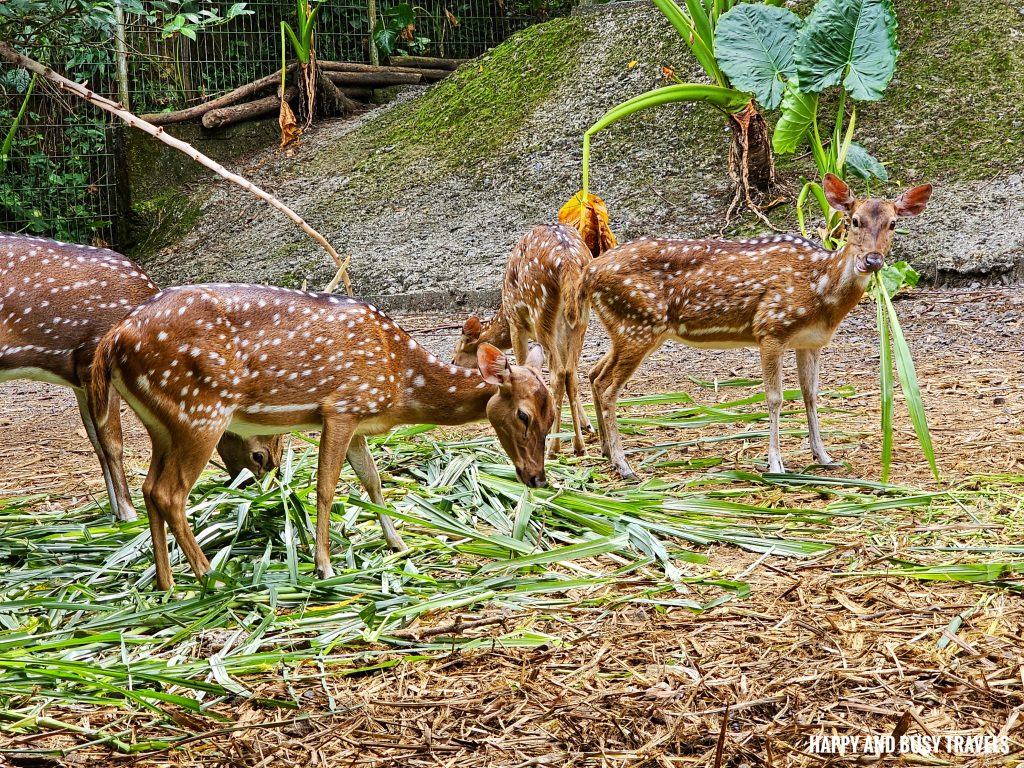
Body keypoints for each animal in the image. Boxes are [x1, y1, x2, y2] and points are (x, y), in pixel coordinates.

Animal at [0, 234, 282, 524]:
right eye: (258, 456)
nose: (262, 487)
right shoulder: (92, 361)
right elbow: (113, 444)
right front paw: (129, 514)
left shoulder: (80, 379)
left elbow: (96, 443)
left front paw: (115, 512)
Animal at [92, 282, 557, 589]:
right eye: (523, 415)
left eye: (554, 417)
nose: (536, 477)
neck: (400, 381)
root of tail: (113, 340)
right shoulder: (342, 407)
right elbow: (327, 487)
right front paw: (323, 567)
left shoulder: (359, 419)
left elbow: (372, 479)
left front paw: (398, 543)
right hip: (200, 413)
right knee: (169, 492)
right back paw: (211, 576)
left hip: (162, 424)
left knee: (150, 488)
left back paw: (166, 583)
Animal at [454, 225, 598, 460]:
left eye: (454, 358)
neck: (503, 315)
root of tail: (567, 260)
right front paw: (588, 426)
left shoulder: (516, 324)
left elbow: (523, 368)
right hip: (580, 317)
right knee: (571, 373)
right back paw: (579, 446)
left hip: (540, 310)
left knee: (558, 374)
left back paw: (553, 448)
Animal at [585, 176, 929, 481]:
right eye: (854, 221)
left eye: (893, 223)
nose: (872, 260)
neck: (819, 289)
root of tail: (589, 271)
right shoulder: (771, 327)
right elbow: (775, 397)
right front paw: (776, 465)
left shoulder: (811, 341)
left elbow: (811, 395)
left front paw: (825, 457)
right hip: (638, 324)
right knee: (609, 387)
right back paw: (624, 466)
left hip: (626, 328)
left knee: (595, 374)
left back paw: (605, 452)